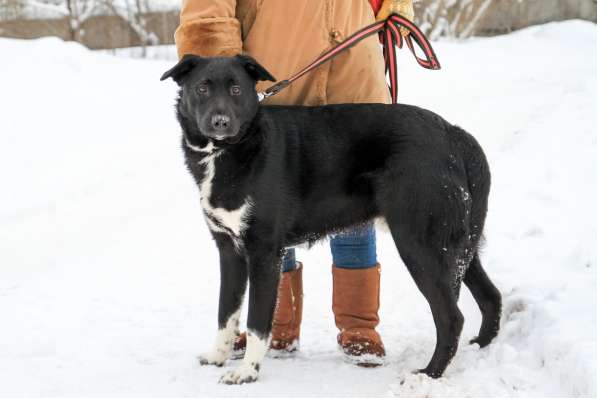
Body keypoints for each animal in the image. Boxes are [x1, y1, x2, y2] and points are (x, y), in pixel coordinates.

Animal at [161, 54, 500, 384]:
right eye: (202, 88)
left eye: (236, 89)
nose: (220, 122)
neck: (228, 151)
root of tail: (454, 134)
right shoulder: (229, 250)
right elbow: (226, 312)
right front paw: (218, 356)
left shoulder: (263, 252)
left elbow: (257, 321)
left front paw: (247, 372)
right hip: (456, 246)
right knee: (490, 296)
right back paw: (481, 347)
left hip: (419, 244)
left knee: (452, 317)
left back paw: (428, 375)